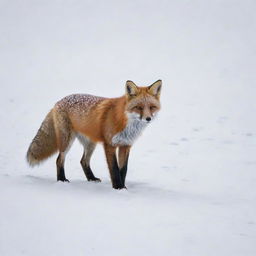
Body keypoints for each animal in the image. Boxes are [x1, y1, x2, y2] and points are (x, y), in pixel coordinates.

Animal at [26, 79, 162, 189]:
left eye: (152, 107)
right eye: (139, 107)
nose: (148, 118)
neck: (126, 123)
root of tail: (58, 102)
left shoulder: (125, 145)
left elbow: (123, 170)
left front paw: (123, 187)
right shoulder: (109, 145)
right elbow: (114, 169)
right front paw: (118, 188)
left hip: (91, 144)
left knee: (83, 161)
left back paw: (91, 178)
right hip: (67, 141)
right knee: (59, 159)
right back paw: (62, 180)